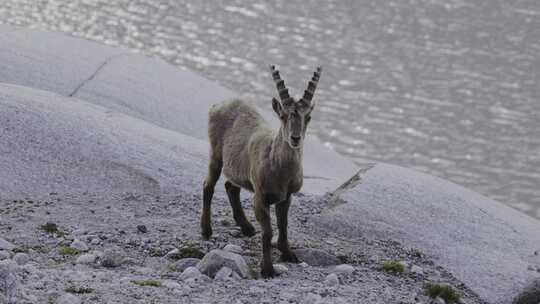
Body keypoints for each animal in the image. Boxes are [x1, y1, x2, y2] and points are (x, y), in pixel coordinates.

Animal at [201, 66, 320, 278]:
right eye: (283, 116)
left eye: (308, 117)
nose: (295, 138)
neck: (282, 171)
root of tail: (218, 104)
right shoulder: (260, 197)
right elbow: (268, 232)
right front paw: (267, 269)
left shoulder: (286, 196)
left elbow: (283, 226)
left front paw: (288, 254)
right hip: (216, 155)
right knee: (209, 186)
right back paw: (206, 230)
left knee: (231, 186)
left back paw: (247, 228)